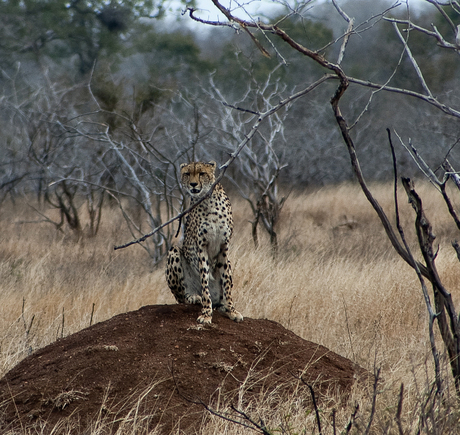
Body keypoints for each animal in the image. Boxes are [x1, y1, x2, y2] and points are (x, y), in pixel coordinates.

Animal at [165, 162, 244, 326]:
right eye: (187, 174)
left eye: (202, 173)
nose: (193, 184)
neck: (208, 200)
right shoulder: (201, 247)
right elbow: (204, 279)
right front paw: (207, 313)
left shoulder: (224, 247)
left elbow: (226, 283)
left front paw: (231, 310)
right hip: (174, 251)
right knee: (181, 298)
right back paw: (194, 297)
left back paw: (222, 305)